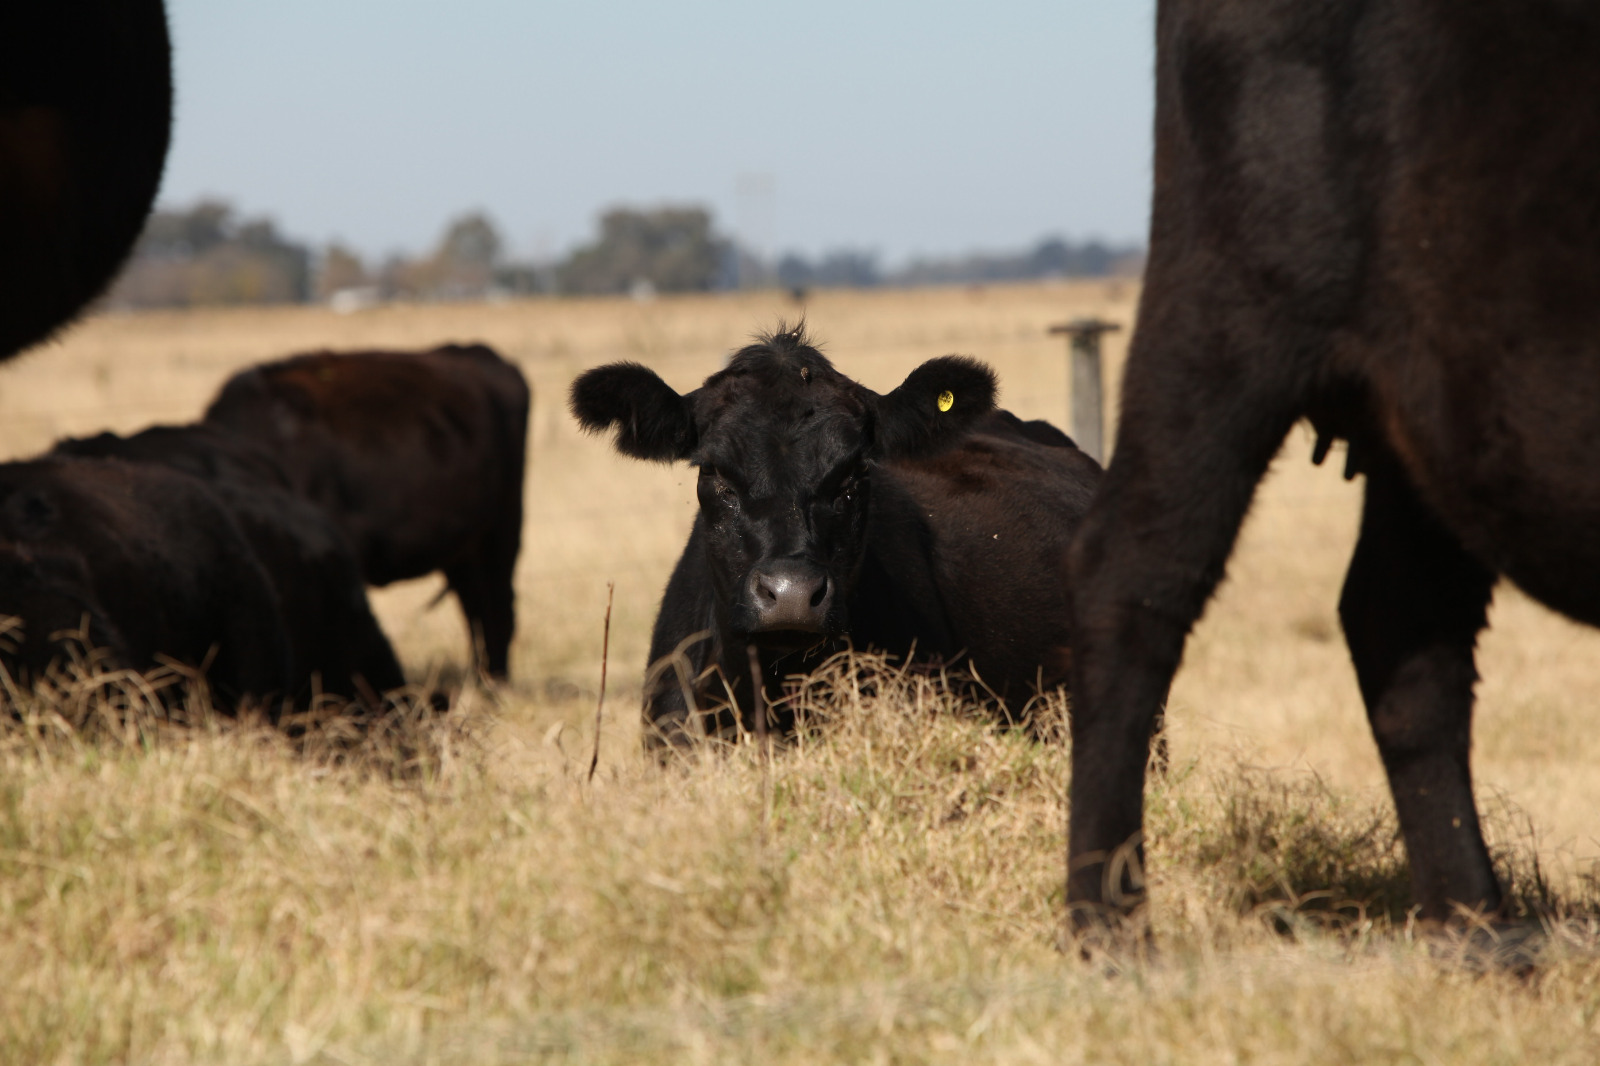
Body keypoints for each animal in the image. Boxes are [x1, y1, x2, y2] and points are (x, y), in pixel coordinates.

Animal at [1068, 2, 1600, 921]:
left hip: (1425, 416)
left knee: (1403, 627)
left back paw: (1480, 929)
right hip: (1225, 318)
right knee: (1130, 580)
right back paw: (1110, 926)